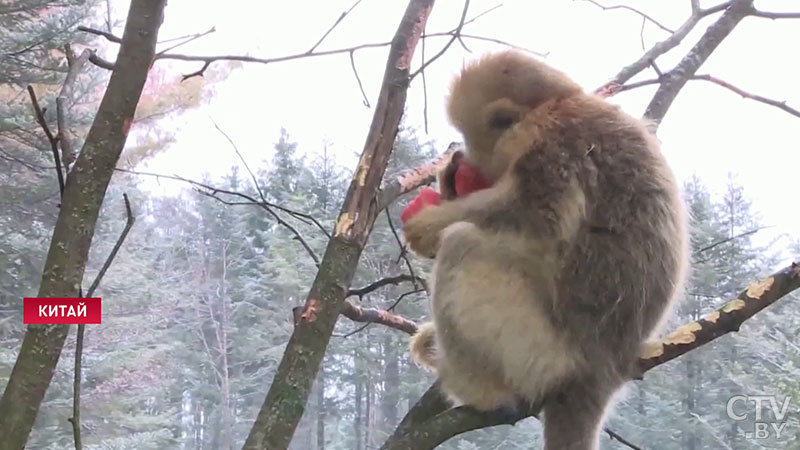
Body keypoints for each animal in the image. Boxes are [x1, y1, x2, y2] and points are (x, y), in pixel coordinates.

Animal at [404, 51, 692, 450]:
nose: (464, 158)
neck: (555, 105)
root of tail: (604, 373)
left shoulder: (554, 145)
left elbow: (539, 218)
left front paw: (429, 226)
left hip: (543, 354)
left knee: (463, 247)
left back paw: (483, 391)